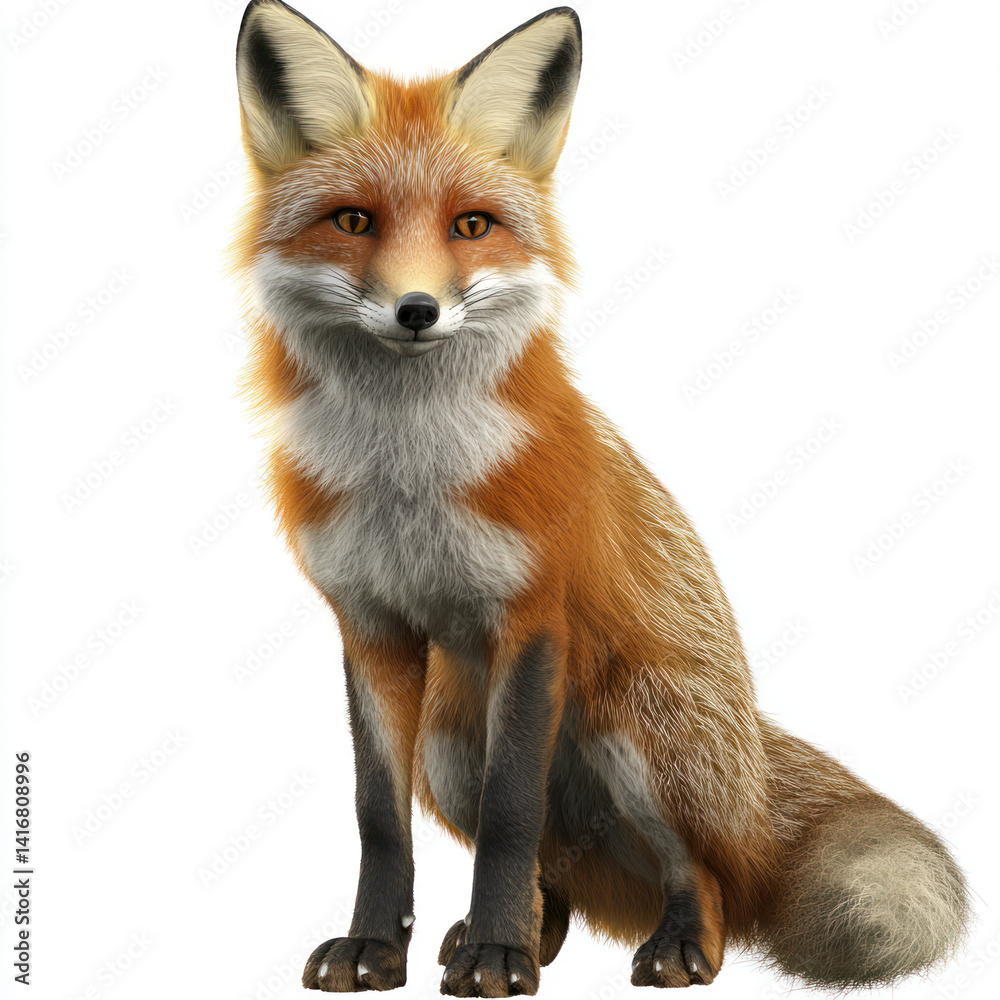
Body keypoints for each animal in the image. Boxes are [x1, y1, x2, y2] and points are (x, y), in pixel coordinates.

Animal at [228, 1, 971, 995]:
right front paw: (379, 949)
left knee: (702, 872)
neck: (407, 479)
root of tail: (748, 760)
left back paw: (669, 945)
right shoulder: (369, 625)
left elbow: (511, 811)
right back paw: (509, 933)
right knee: (559, 874)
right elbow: (379, 818)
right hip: (448, 744)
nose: (418, 309)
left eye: (471, 225)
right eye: (354, 220)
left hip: (636, 738)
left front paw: (497, 957)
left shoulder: (535, 617)